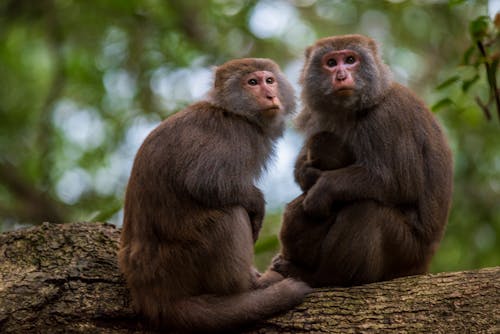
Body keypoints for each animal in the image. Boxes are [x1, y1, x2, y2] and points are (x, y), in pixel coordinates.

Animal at [118, 58, 312, 332]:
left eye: (269, 80)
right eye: (253, 82)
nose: (270, 94)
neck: (234, 112)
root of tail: (153, 295)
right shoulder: (237, 136)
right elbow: (204, 182)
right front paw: (257, 204)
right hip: (184, 259)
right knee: (229, 214)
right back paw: (247, 287)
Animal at [268, 35, 456, 288]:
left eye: (350, 60)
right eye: (331, 62)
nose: (341, 75)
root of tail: (422, 265)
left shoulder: (387, 117)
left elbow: (400, 184)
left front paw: (323, 188)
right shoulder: (316, 117)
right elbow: (302, 167)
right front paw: (309, 173)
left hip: (405, 253)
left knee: (367, 208)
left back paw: (324, 278)